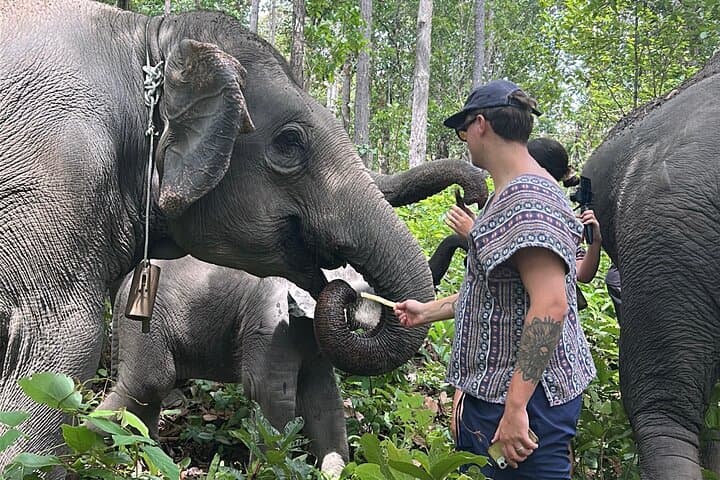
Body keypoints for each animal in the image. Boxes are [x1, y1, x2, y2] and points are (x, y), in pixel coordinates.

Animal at [0, 1, 485, 462]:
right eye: (290, 143)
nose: (471, 195)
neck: (149, 38)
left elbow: (324, 403)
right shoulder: (59, 172)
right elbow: (63, 344)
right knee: (145, 383)